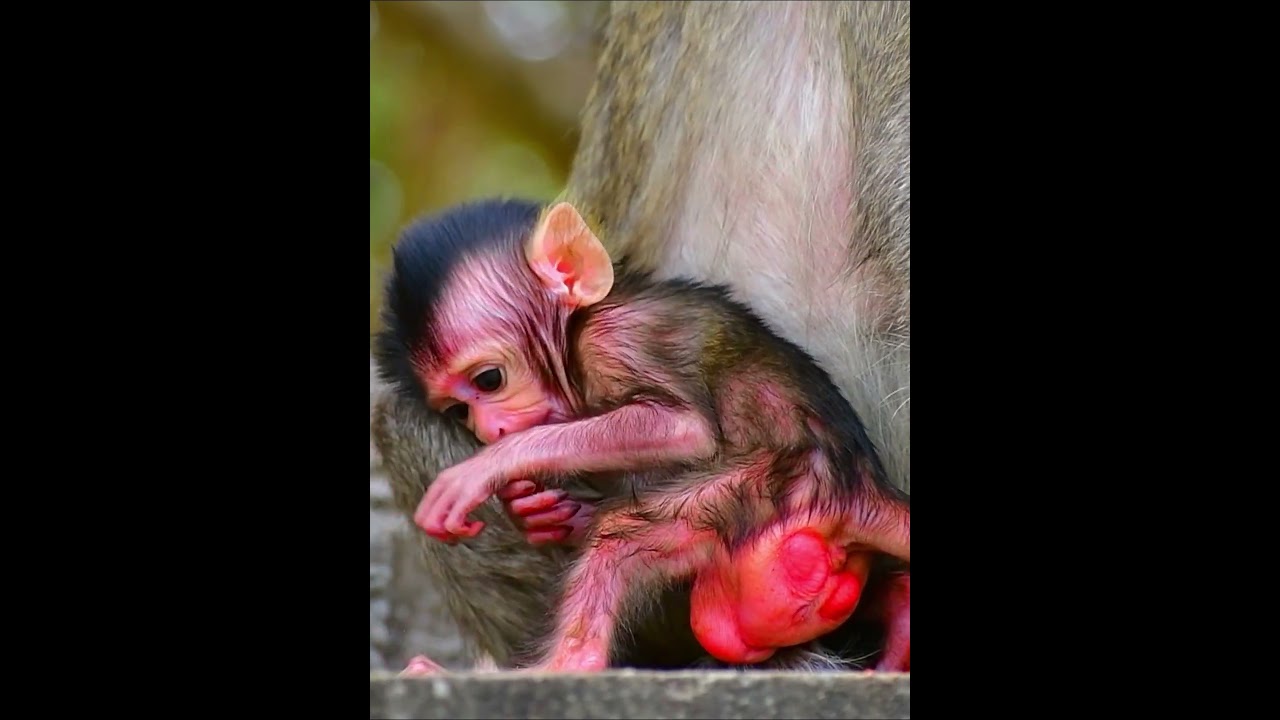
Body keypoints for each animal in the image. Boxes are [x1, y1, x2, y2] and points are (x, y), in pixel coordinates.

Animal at [370, 0, 910, 672]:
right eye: (459, 408)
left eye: (489, 380)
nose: (489, 430)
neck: (576, 329)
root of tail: (865, 490)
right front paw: (540, 507)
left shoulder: (612, 346)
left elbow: (680, 427)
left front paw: (496, 466)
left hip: (767, 494)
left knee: (626, 540)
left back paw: (566, 660)